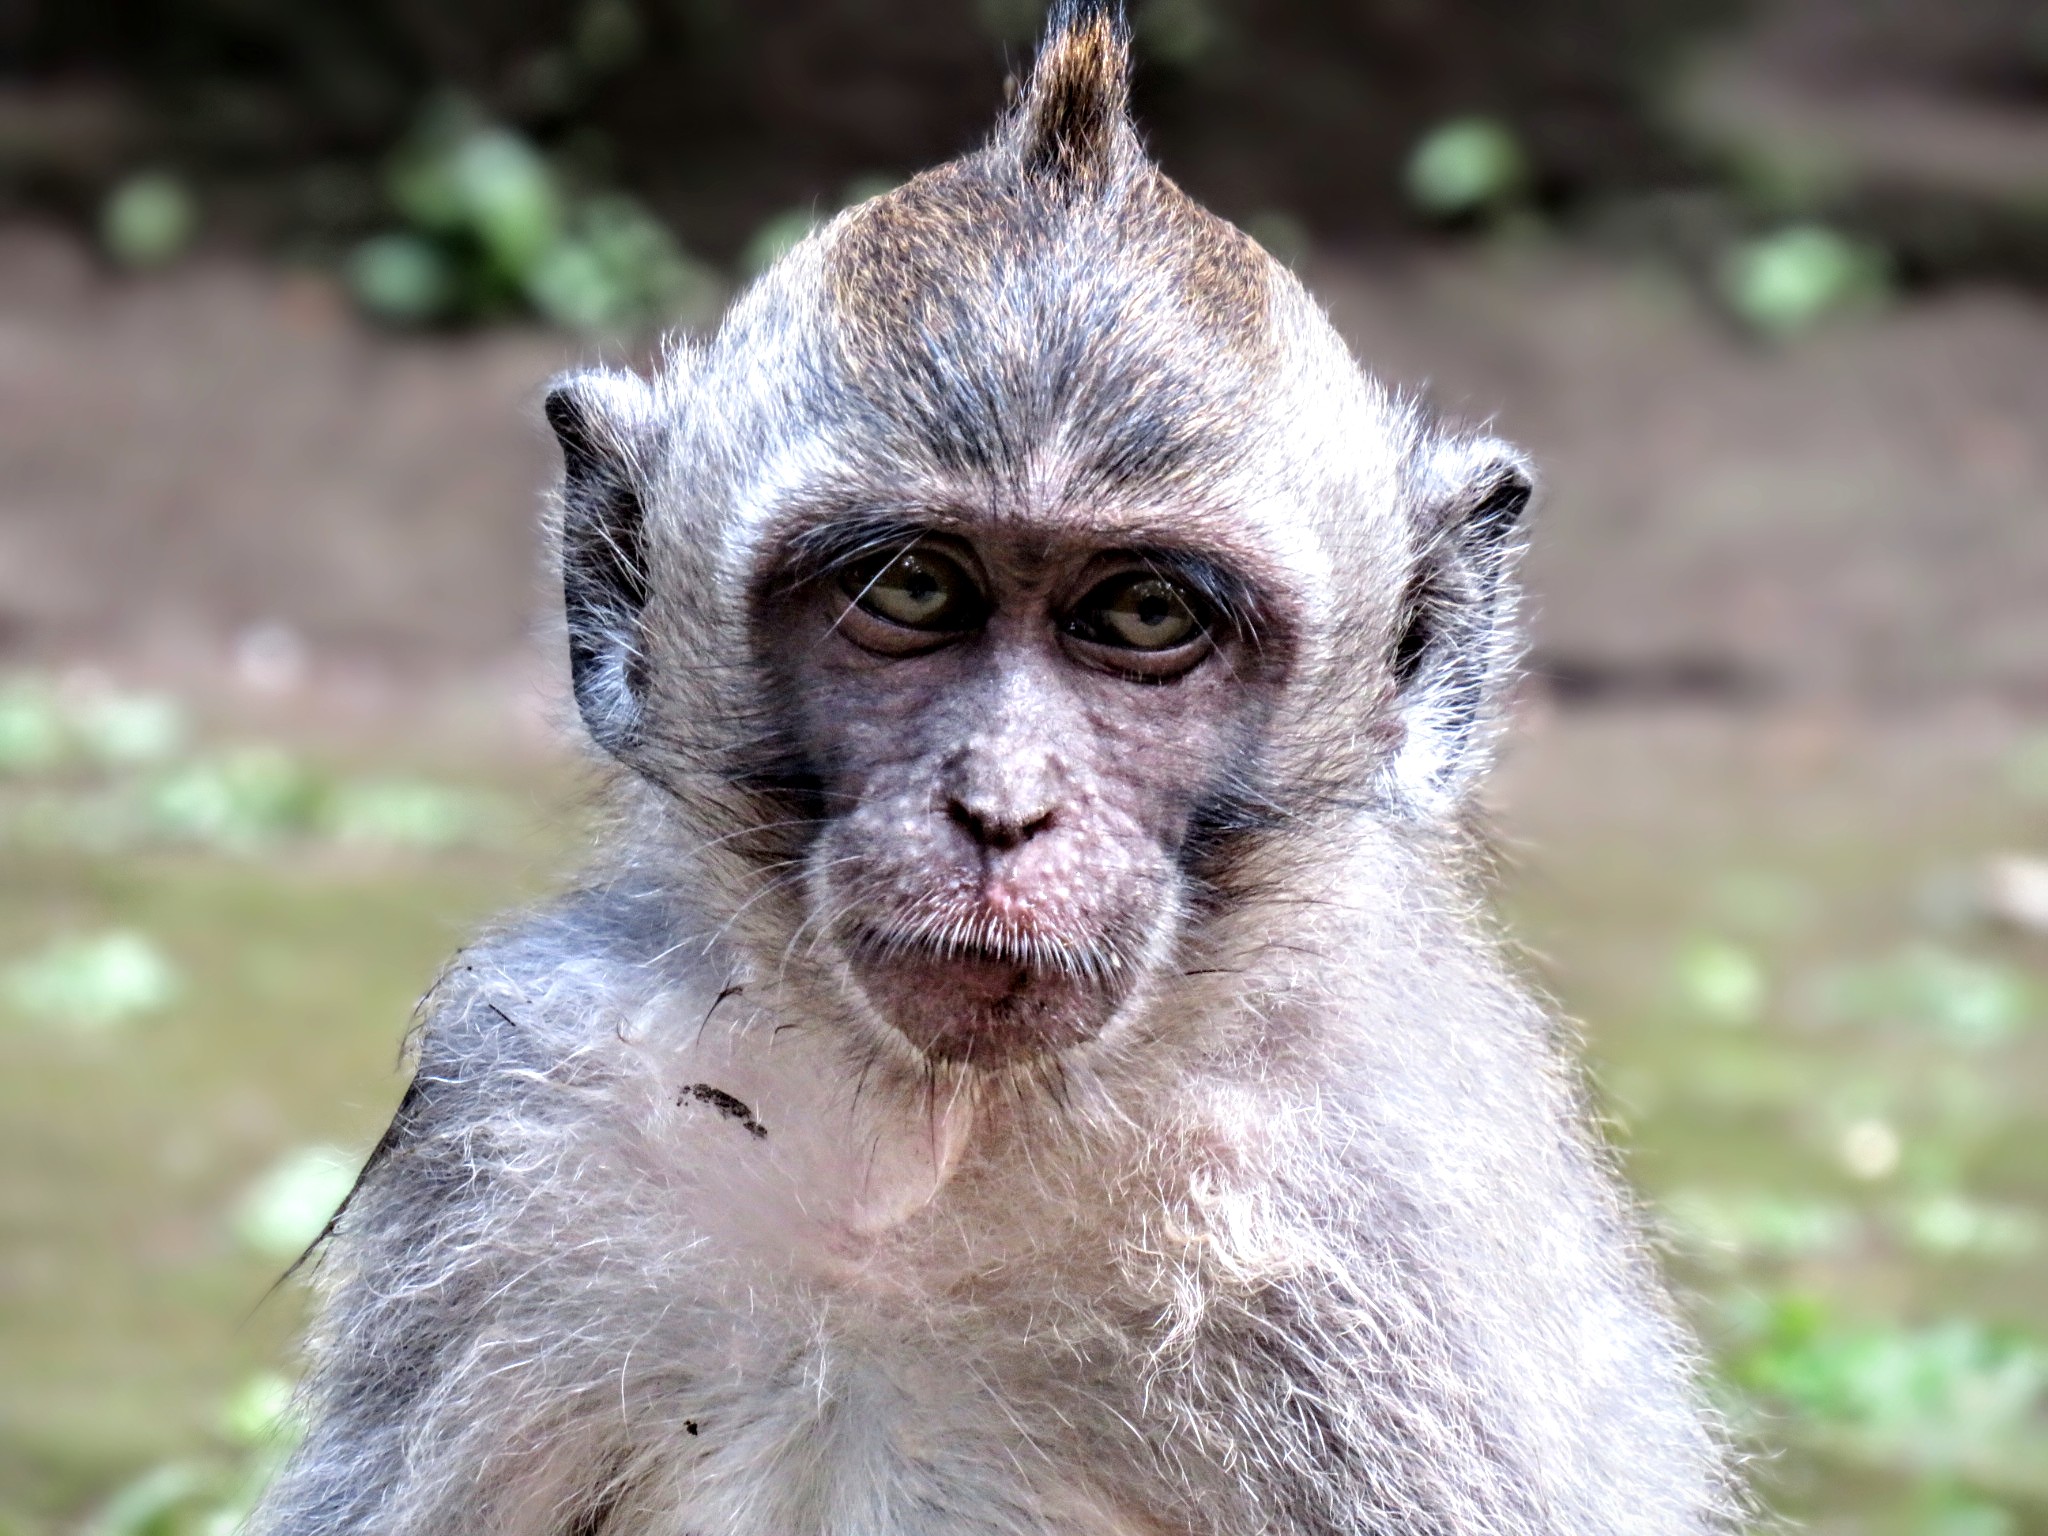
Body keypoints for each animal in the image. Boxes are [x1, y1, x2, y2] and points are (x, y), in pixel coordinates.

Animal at [248, 5, 1740, 1534]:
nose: (1002, 810)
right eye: (912, 588)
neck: (940, 1143)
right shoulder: (518, 1113)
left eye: (1144, 615)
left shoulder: (1389, 1234)